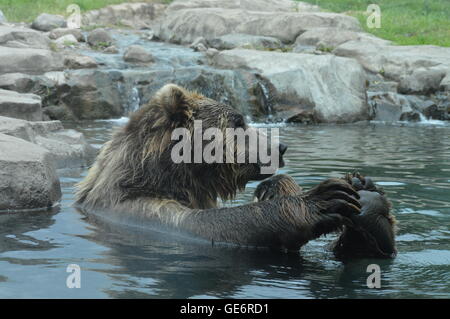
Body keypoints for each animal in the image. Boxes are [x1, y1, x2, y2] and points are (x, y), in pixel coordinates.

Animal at [74, 84, 362, 252]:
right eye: (238, 121)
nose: (281, 147)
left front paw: (277, 186)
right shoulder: (144, 212)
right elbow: (210, 225)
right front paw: (327, 199)